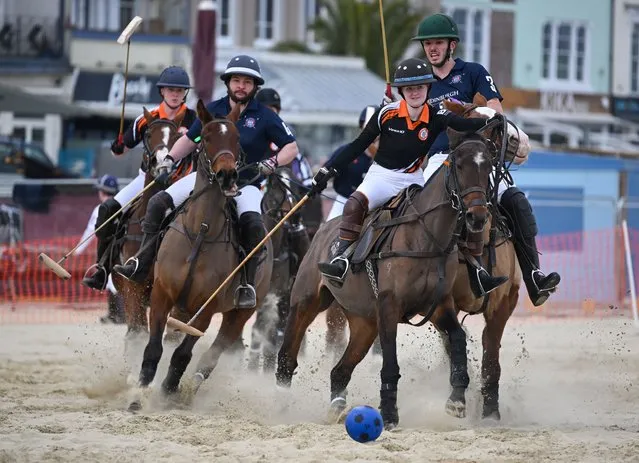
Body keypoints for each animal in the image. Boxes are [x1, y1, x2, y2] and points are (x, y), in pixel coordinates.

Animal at [129, 99, 274, 412]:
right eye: (205, 137)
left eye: (237, 139)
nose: (228, 176)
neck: (202, 230)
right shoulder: (161, 294)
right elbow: (154, 348)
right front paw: (138, 397)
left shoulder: (206, 308)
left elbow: (182, 354)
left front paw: (169, 391)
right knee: (158, 200)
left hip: (240, 313)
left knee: (212, 355)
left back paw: (188, 389)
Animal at [276, 129, 500, 430]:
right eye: (460, 165)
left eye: (488, 167)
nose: (477, 217)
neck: (426, 237)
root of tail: (323, 229)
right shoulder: (389, 305)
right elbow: (391, 363)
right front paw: (390, 414)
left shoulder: (439, 305)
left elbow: (457, 339)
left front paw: (456, 400)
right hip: (306, 300)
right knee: (287, 357)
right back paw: (279, 406)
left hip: (365, 322)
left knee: (340, 370)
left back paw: (336, 408)